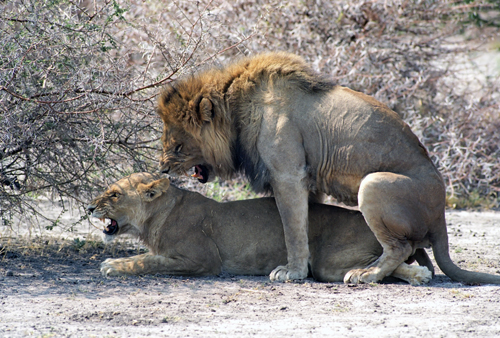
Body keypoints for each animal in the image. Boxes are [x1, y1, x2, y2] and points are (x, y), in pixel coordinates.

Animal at [88, 173, 432, 284]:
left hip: (328, 262)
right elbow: (148, 257)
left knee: (387, 259)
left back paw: (413, 275)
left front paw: (112, 265)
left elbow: (148, 260)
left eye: (114, 194)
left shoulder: (202, 260)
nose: (90, 208)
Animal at [157, 51, 500, 284]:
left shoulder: (288, 174)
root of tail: (441, 212)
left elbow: (293, 229)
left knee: (400, 247)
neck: (238, 108)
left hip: (373, 184)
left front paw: (292, 272)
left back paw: (366, 274)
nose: (161, 169)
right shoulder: (306, 180)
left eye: (177, 146)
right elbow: (304, 224)